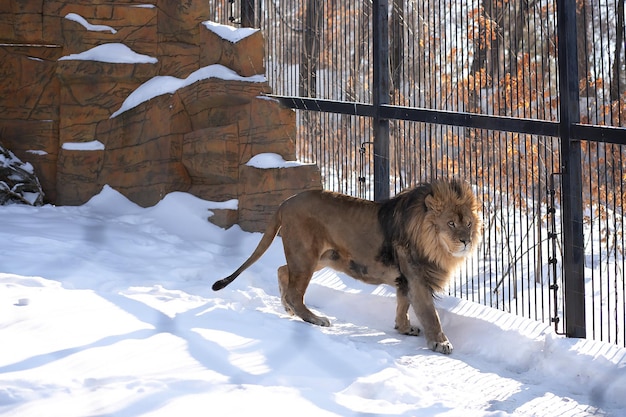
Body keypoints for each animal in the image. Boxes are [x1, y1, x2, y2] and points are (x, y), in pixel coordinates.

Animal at [212, 177, 480, 352]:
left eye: (468, 223)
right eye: (451, 224)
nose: (466, 241)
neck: (434, 245)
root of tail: (286, 201)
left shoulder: (405, 279)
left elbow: (402, 305)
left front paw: (404, 328)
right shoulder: (417, 278)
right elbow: (429, 314)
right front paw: (441, 342)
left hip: (322, 257)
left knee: (282, 271)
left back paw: (287, 307)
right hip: (306, 255)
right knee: (295, 293)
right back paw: (314, 318)